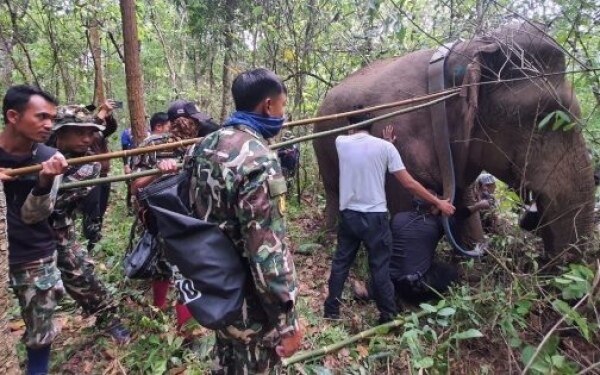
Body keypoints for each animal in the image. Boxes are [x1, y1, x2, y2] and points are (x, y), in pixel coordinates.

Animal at [314, 22, 596, 258]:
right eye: (543, 117)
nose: (547, 263)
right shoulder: (400, 136)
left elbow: (463, 198)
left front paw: (474, 260)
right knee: (334, 191)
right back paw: (330, 237)